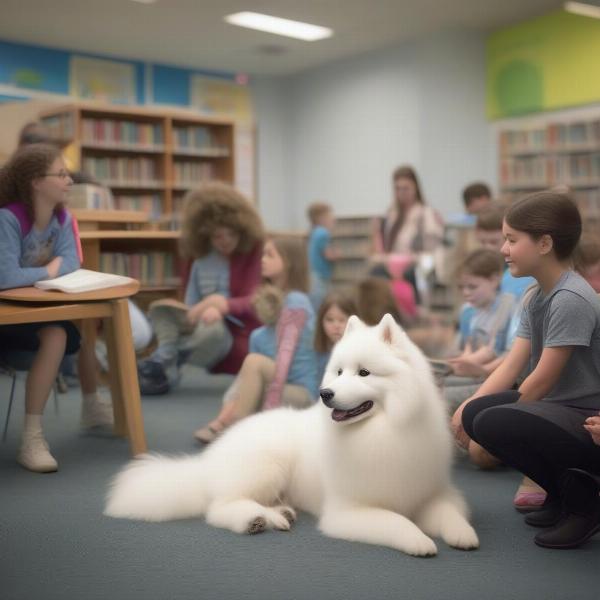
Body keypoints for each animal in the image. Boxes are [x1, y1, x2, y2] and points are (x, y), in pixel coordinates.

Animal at [103, 316, 478, 556]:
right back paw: (256, 519)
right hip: (267, 465)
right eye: (338, 371)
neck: (384, 430)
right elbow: (395, 521)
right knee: (220, 506)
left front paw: (463, 533)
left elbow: (450, 512)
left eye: (364, 373)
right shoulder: (348, 511)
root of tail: (207, 462)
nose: (326, 393)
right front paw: (419, 540)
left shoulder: (430, 493)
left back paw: (278, 514)